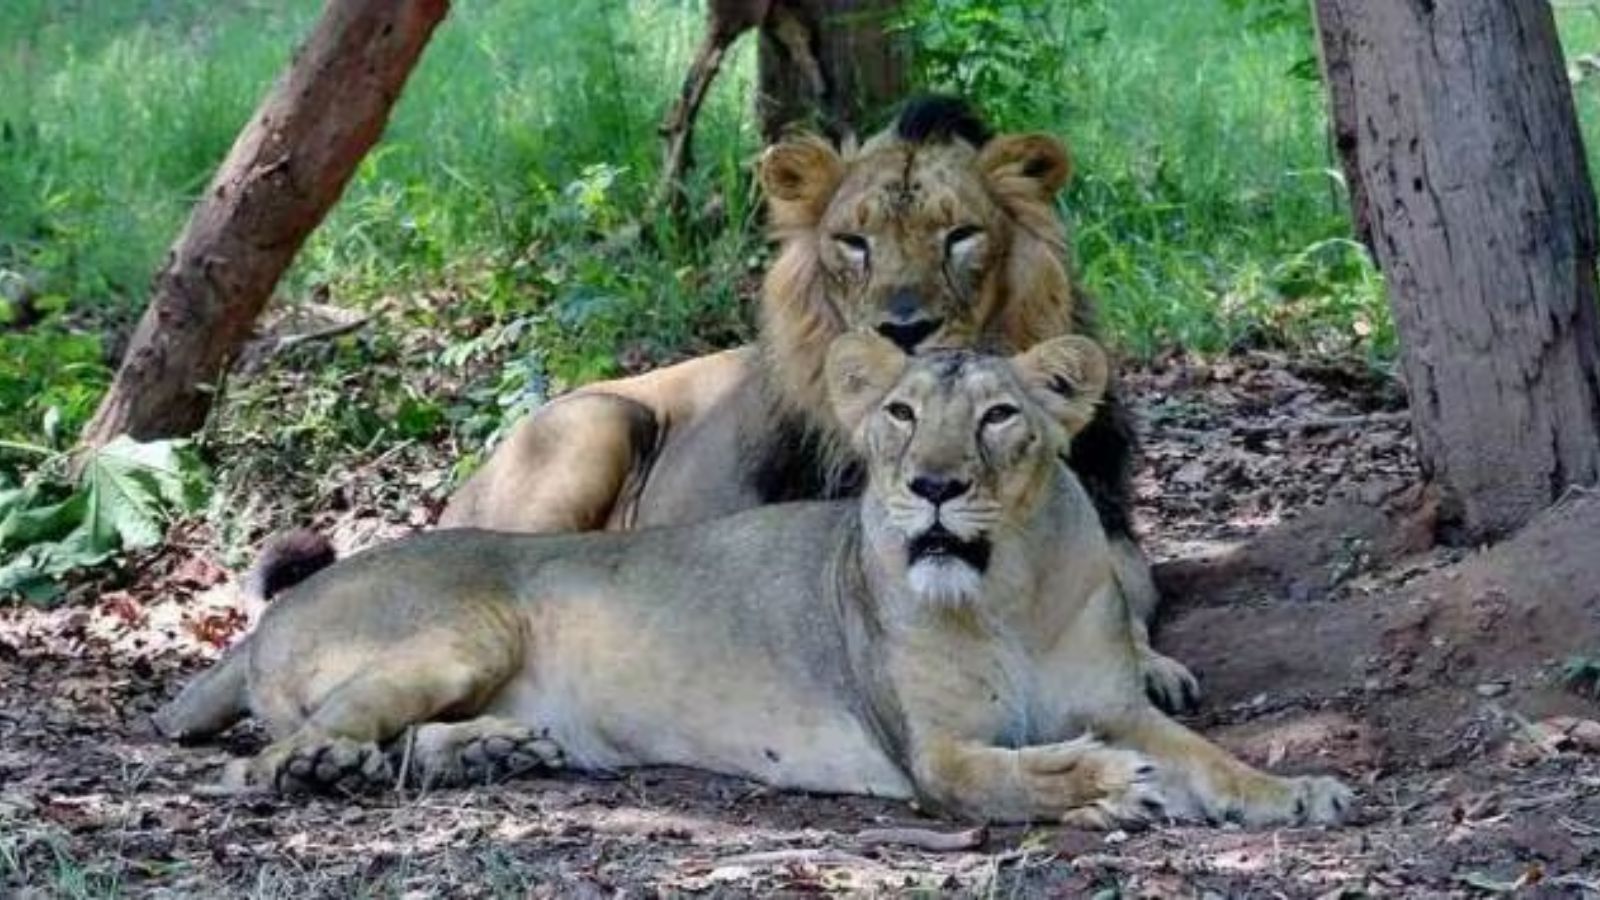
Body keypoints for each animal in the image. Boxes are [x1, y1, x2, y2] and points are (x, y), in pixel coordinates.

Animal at [156, 334, 1351, 828]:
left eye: (999, 416)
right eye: (900, 414)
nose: (931, 486)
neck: (1002, 587)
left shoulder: (1114, 699)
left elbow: (1209, 755)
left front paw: (1295, 794)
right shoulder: (930, 756)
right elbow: (1017, 778)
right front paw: (1109, 786)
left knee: (384, 742)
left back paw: (496, 751)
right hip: (468, 629)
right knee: (275, 756)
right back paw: (327, 773)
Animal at [441, 97, 1198, 712]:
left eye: (960, 236)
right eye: (854, 243)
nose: (903, 327)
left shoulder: (1107, 522)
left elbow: (1119, 595)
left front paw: (1149, 665)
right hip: (592, 425)